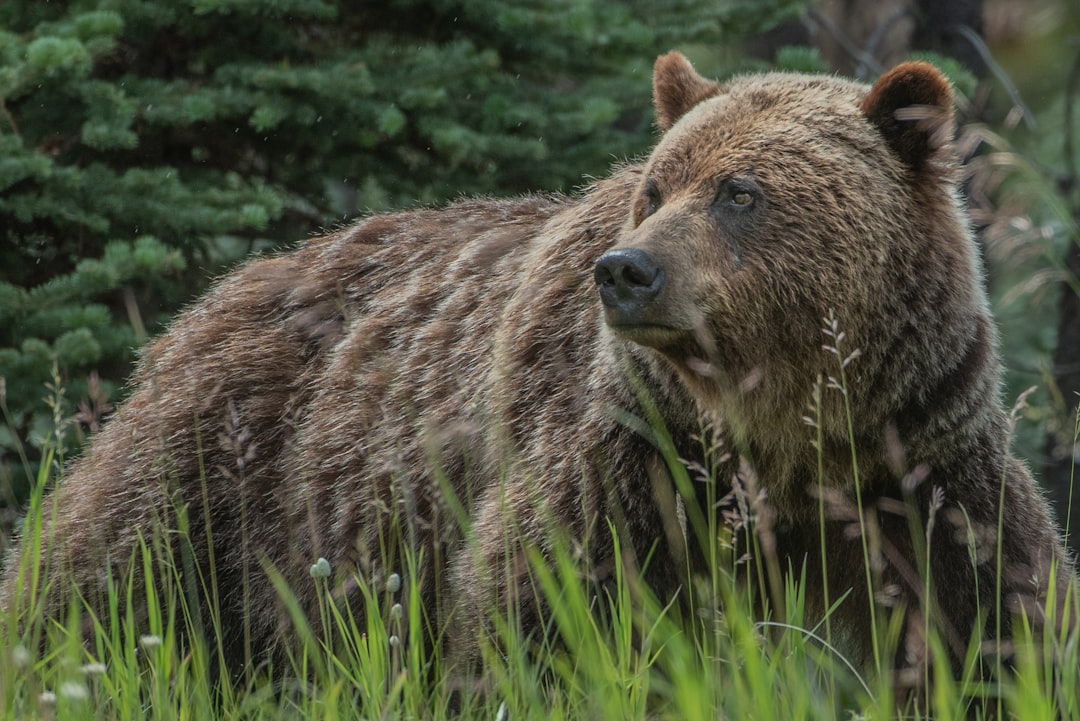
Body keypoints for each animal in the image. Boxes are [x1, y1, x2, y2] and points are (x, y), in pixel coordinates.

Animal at [2, 51, 1074, 693]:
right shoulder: (640, 452)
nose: (627, 270)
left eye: (740, 191)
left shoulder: (915, 454)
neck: (782, 419)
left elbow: (992, 609)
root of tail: (216, 295)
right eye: (657, 185)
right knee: (100, 580)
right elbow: (551, 599)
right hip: (225, 464)